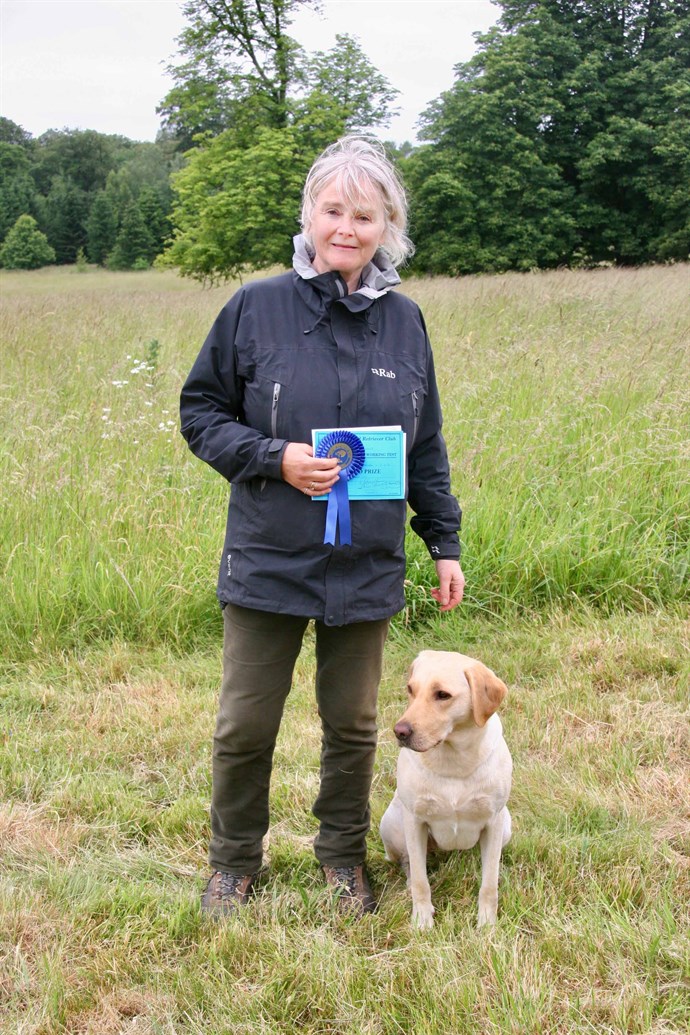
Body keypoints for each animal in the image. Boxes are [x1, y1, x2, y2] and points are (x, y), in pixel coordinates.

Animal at [378, 645, 513, 931]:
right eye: (410, 689)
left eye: (442, 695)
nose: (399, 732)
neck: (453, 759)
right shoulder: (415, 821)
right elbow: (421, 880)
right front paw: (422, 920)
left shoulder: (494, 821)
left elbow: (488, 883)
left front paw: (487, 925)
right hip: (392, 824)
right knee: (408, 863)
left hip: (506, 825)